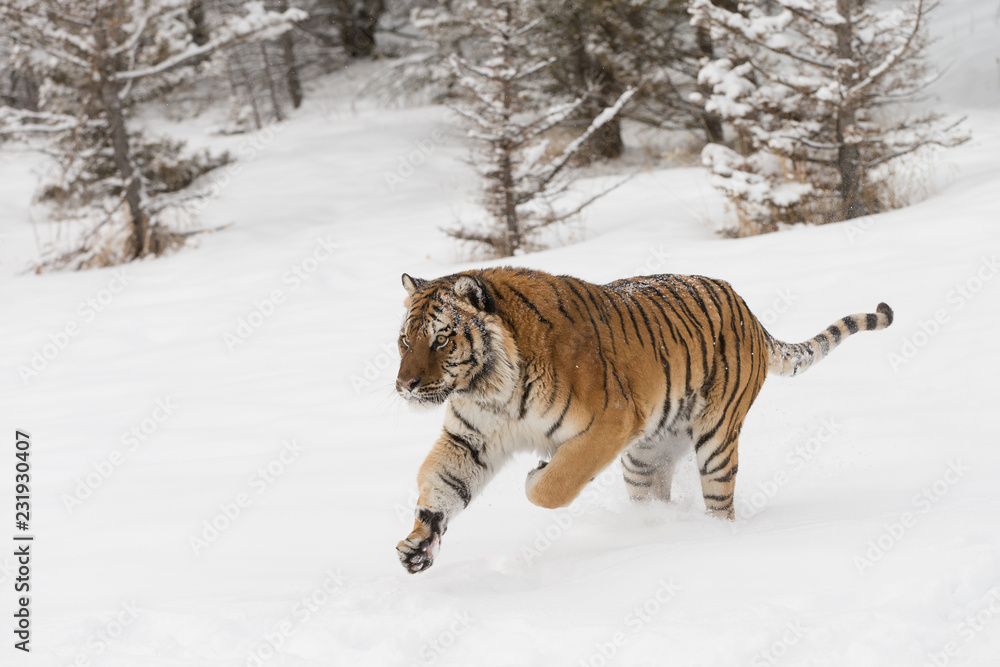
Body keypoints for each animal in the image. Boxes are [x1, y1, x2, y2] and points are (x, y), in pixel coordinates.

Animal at [394, 266, 893, 573]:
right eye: (405, 340)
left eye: (441, 339)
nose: (406, 386)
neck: (491, 386)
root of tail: (748, 310)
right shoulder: (471, 439)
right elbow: (440, 483)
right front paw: (418, 542)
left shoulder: (610, 422)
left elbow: (554, 487)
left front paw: (538, 472)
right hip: (645, 457)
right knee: (652, 495)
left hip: (716, 439)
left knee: (721, 502)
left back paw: (716, 542)